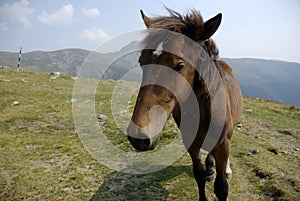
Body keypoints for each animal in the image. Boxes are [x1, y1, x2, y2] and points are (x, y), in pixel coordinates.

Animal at [127, 7, 244, 201]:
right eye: (141, 61)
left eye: (180, 65)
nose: (138, 137)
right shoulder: (191, 144)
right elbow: (199, 175)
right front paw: (206, 174)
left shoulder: (222, 145)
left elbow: (221, 188)